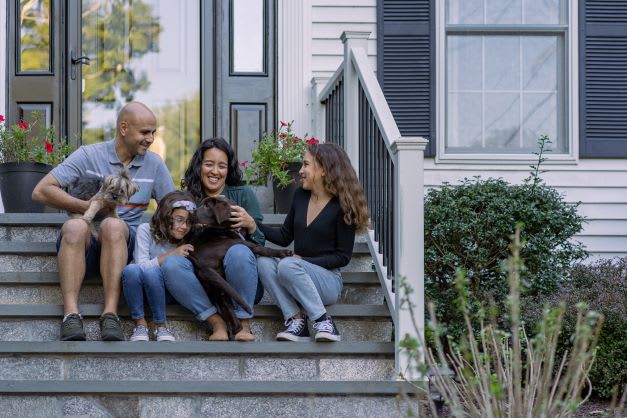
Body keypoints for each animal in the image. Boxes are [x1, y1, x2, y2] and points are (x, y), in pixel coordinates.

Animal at [188, 195, 294, 336]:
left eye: (206, 206)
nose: (190, 213)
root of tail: (199, 264)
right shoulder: (241, 240)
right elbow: (260, 247)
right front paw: (282, 252)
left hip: (216, 289)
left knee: (231, 317)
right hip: (230, 244)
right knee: (253, 247)